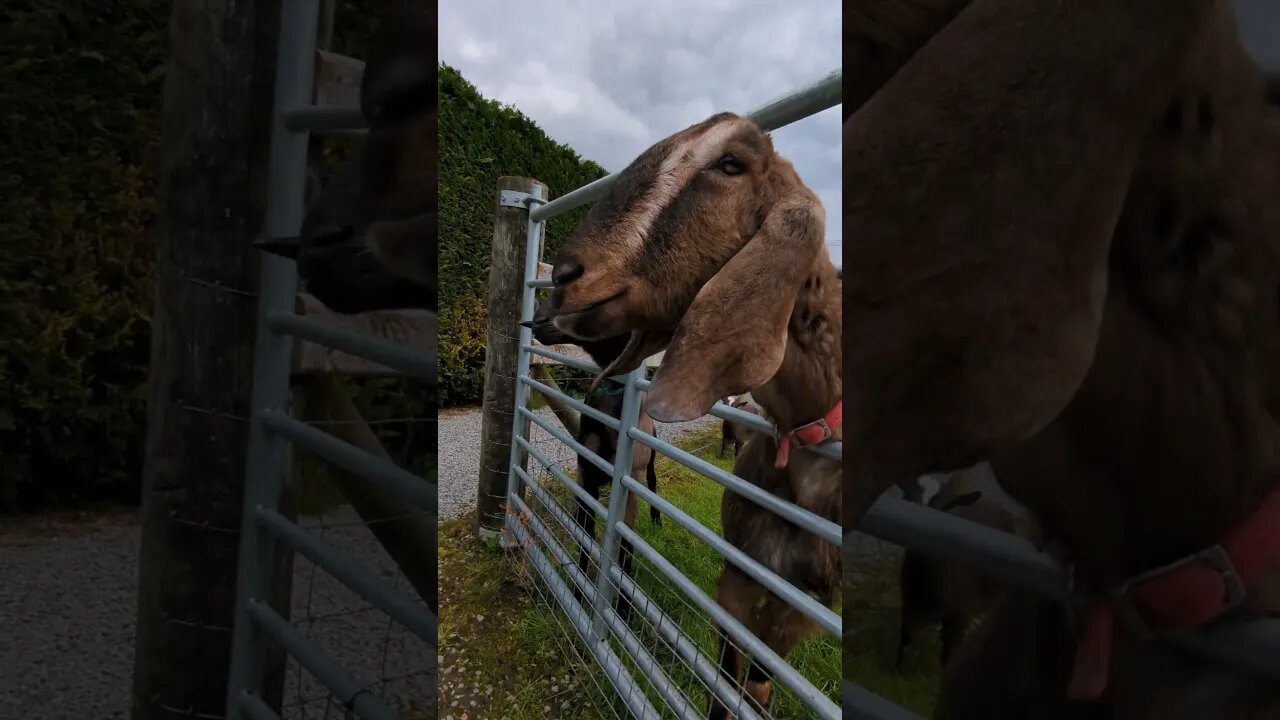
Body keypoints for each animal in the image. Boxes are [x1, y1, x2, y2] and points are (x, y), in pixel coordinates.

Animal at [521, 323, 662, 624]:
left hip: (650, 461)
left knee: (653, 485)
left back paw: (657, 520)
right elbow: (585, 540)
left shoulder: (630, 484)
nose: (535, 325)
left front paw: (623, 612)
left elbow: (625, 551)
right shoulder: (586, 478)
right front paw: (578, 593)